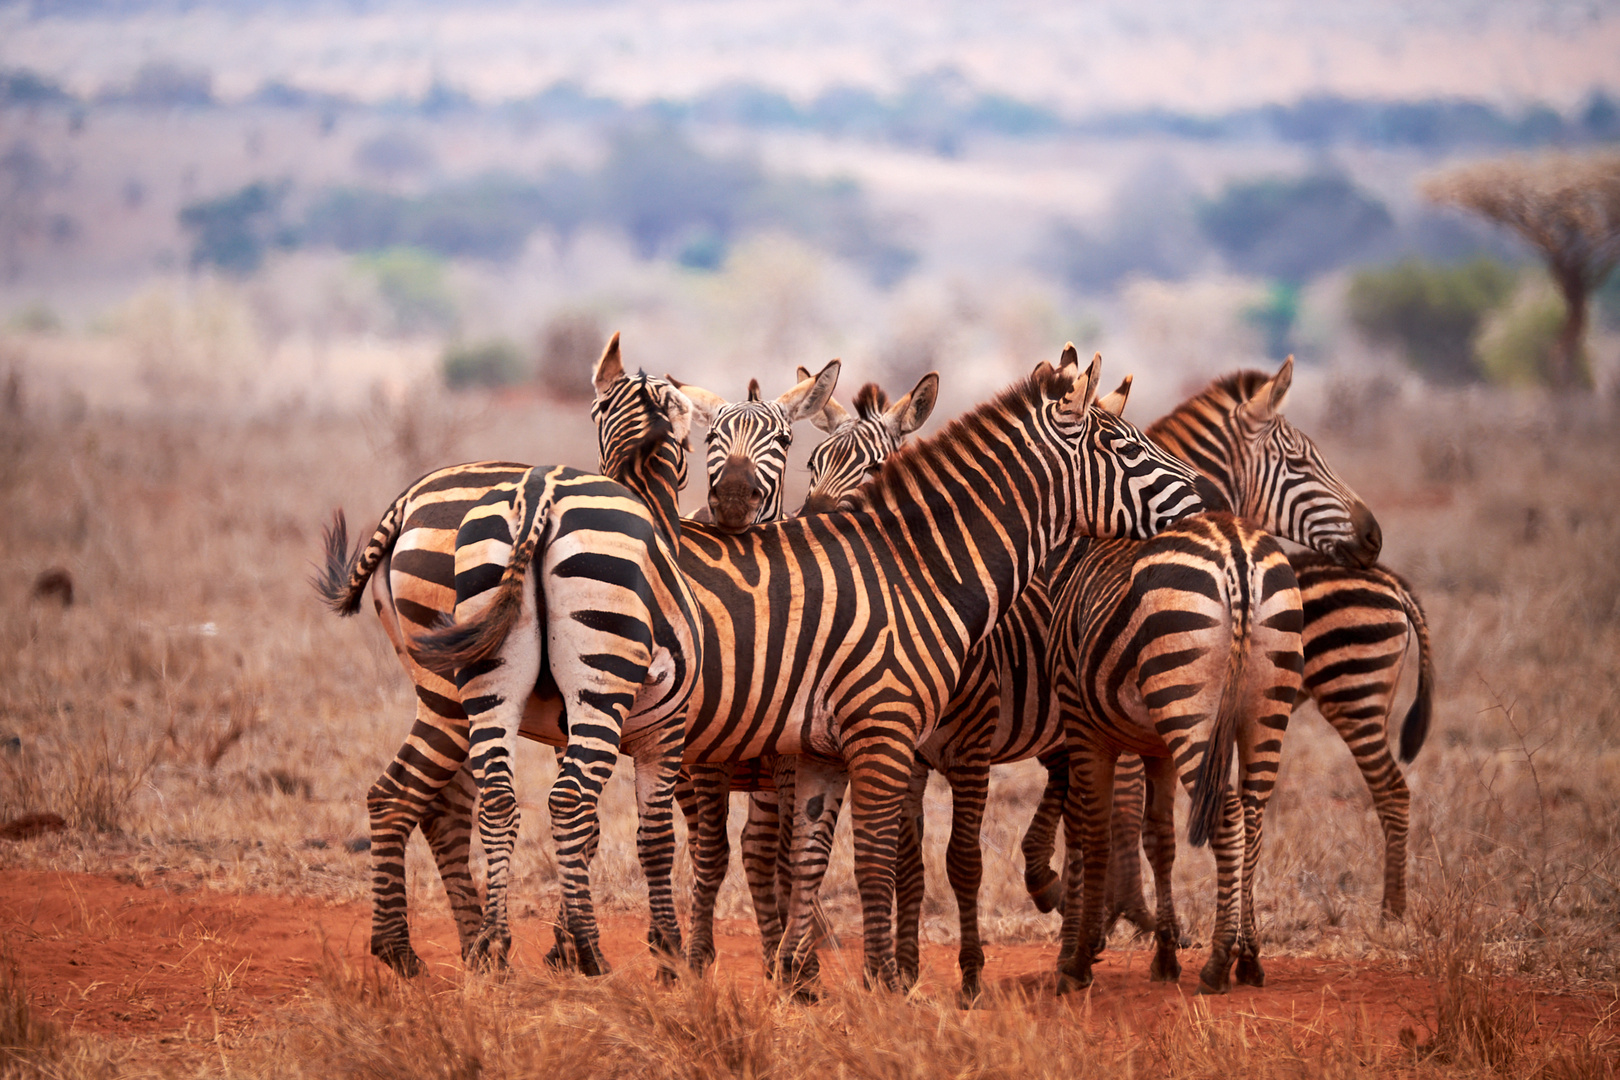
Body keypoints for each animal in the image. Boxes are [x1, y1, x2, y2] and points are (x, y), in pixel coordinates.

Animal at [309, 338, 703, 977]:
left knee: (432, 798)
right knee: (547, 802)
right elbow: (651, 836)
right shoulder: (659, 730)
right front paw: (656, 950)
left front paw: (559, 943)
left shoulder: (572, 728)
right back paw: (576, 951)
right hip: (550, 689)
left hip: (460, 686)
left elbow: (591, 832)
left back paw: (441, 946)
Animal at [881, 359, 1386, 1003]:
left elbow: (1098, 830)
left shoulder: (1094, 727)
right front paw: (1112, 933)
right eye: (1300, 461)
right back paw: (1233, 957)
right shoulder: (1104, 728)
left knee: (1236, 817)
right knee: (1245, 816)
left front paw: (1091, 934)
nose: (1373, 536)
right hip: (1243, 715)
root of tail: (1235, 553)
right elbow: (1128, 831)